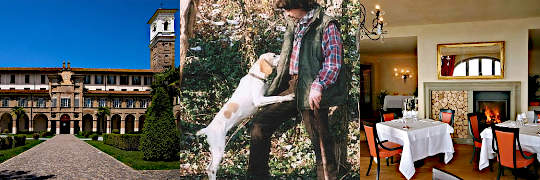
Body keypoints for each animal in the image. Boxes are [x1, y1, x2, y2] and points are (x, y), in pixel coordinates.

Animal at [195, 52, 294, 180]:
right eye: (274, 55)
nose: (283, 56)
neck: (255, 76)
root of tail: (207, 130)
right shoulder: (259, 100)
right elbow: (277, 97)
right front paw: (288, 96)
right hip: (219, 149)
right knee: (212, 169)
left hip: (214, 150)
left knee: (208, 168)